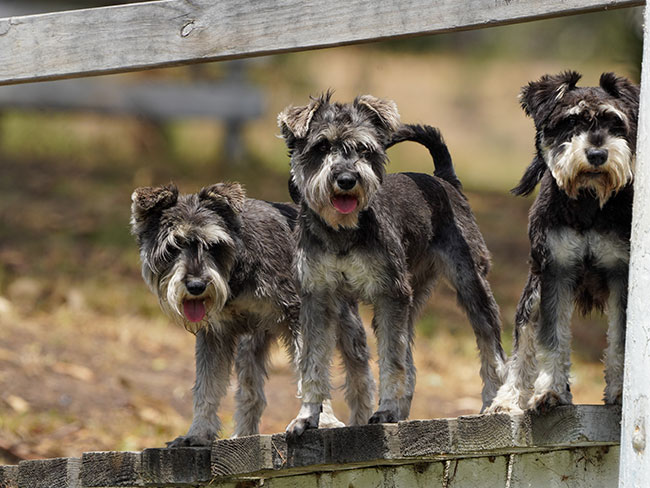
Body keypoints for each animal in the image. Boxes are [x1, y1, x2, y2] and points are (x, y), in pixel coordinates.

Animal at [128, 182, 372, 446]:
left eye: (214, 245)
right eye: (173, 247)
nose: (196, 286)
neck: (235, 275)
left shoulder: (299, 315)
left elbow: (313, 368)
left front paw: (323, 420)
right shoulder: (215, 334)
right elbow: (206, 386)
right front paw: (197, 433)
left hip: (347, 324)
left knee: (360, 379)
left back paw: (362, 421)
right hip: (250, 345)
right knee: (251, 393)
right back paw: (243, 434)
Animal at [278, 92, 506, 434]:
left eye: (364, 148)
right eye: (321, 146)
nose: (347, 179)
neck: (343, 231)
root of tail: (443, 180)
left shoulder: (390, 295)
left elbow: (391, 359)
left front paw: (384, 410)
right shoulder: (318, 299)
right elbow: (313, 362)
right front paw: (306, 417)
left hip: (470, 283)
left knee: (489, 342)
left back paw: (495, 402)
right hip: (415, 294)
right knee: (410, 356)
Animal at [488, 72, 636, 414]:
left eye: (614, 122)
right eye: (570, 122)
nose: (597, 155)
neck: (589, 201)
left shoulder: (620, 273)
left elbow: (620, 340)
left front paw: (619, 392)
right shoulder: (556, 270)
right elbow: (552, 339)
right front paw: (550, 392)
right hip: (532, 294)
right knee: (523, 345)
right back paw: (507, 399)